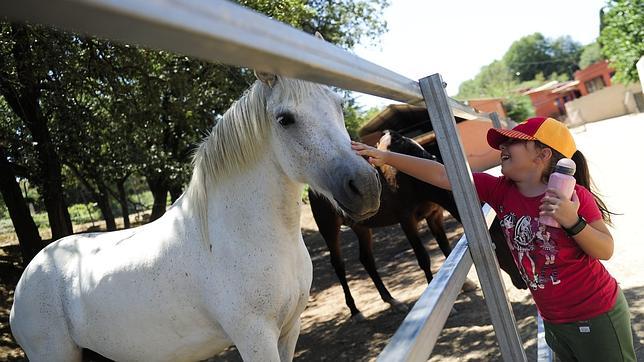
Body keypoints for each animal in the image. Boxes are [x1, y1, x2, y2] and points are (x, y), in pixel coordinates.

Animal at [10, 71, 380, 362]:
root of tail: (28, 275)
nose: (365, 187)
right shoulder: (255, 338)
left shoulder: (290, 330)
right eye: (285, 119)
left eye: (338, 103)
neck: (245, 235)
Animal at [310, 130, 524, 320]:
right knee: (338, 265)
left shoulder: (434, 215)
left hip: (361, 226)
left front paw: (466, 285)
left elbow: (446, 248)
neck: (414, 178)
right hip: (329, 227)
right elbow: (423, 258)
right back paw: (355, 312)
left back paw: (393, 302)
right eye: (498, 243)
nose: (522, 281)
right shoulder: (407, 220)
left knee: (366, 259)